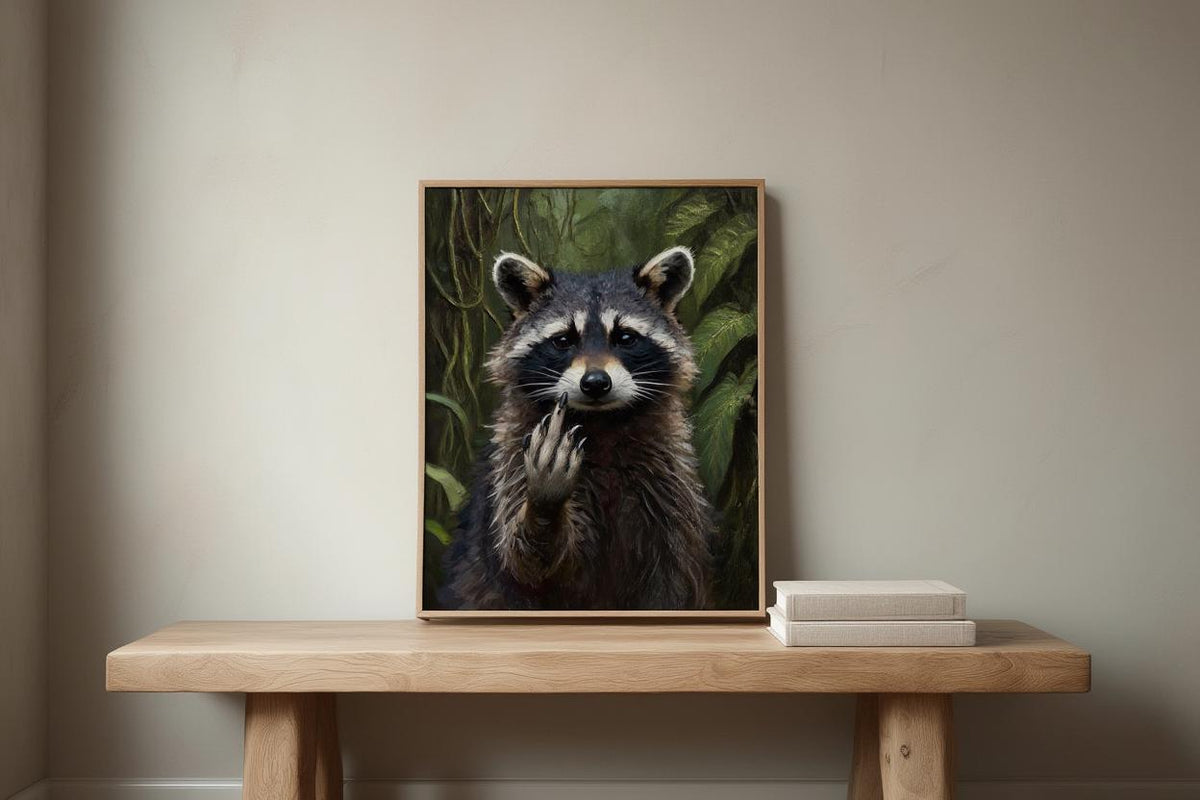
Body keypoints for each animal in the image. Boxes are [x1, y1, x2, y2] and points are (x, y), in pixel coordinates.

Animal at [437, 246, 715, 610]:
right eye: (563, 340)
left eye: (625, 337)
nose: (595, 383)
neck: (602, 422)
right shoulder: (509, 463)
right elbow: (526, 562)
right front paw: (544, 504)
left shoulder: (668, 483)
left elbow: (675, 572)